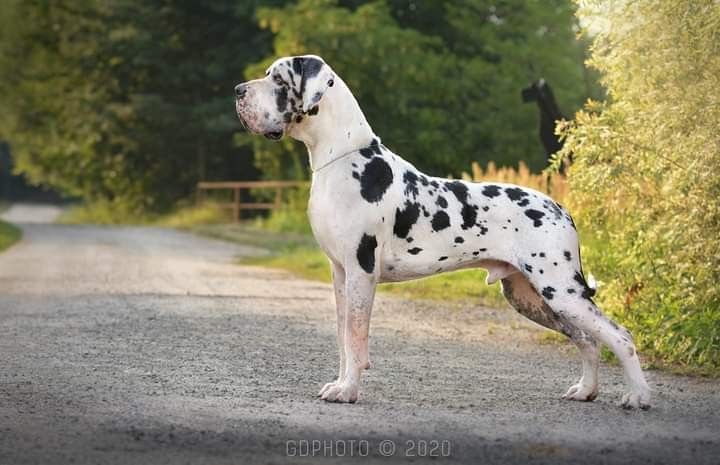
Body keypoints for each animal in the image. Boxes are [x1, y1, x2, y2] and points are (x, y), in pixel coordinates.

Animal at [235, 55, 651, 409]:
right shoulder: (340, 274)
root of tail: (562, 209)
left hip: (560, 289)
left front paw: (349, 391)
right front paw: (340, 383)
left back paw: (638, 397)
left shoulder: (361, 272)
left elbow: (355, 339)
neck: (341, 160)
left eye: (277, 79)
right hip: (532, 296)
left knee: (620, 336)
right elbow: (343, 339)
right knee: (588, 340)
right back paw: (585, 391)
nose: (238, 90)